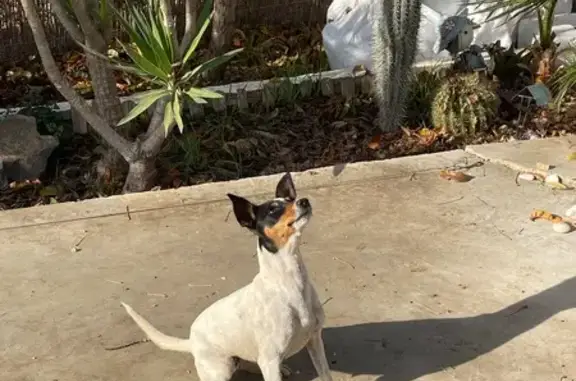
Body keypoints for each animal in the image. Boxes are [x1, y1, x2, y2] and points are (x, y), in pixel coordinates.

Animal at [120, 172, 332, 380]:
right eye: (273, 210)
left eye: (291, 199)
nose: (304, 201)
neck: (288, 283)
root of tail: (191, 341)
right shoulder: (270, 360)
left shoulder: (315, 340)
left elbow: (326, 374)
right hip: (223, 368)